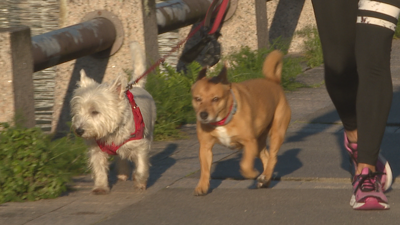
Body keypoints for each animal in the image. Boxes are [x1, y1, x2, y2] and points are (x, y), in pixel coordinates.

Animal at [70, 43, 156, 194]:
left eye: (94, 112)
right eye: (77, 112)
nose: (79, 131)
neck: (111, 133)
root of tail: (136, 86)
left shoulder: (140, 145)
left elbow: (141, 166)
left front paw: (139, 182)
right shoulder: (96, 149)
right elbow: (99, 169)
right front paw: (100, 187)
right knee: (120, 158)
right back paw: (122, 173)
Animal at [191, 50, 290, 195]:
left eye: (215, 99)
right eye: (197, 99)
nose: (203, 115)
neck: (222, 120)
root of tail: (273, 82)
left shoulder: (249, 142)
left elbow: (245, 164)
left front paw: (251, 173)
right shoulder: (205, 147)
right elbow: (204, 169)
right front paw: (202, 186)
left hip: (276, 132)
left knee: (273, 157)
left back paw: (264, 176)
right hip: (259, 141)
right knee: (266, 157)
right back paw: (265, 179)